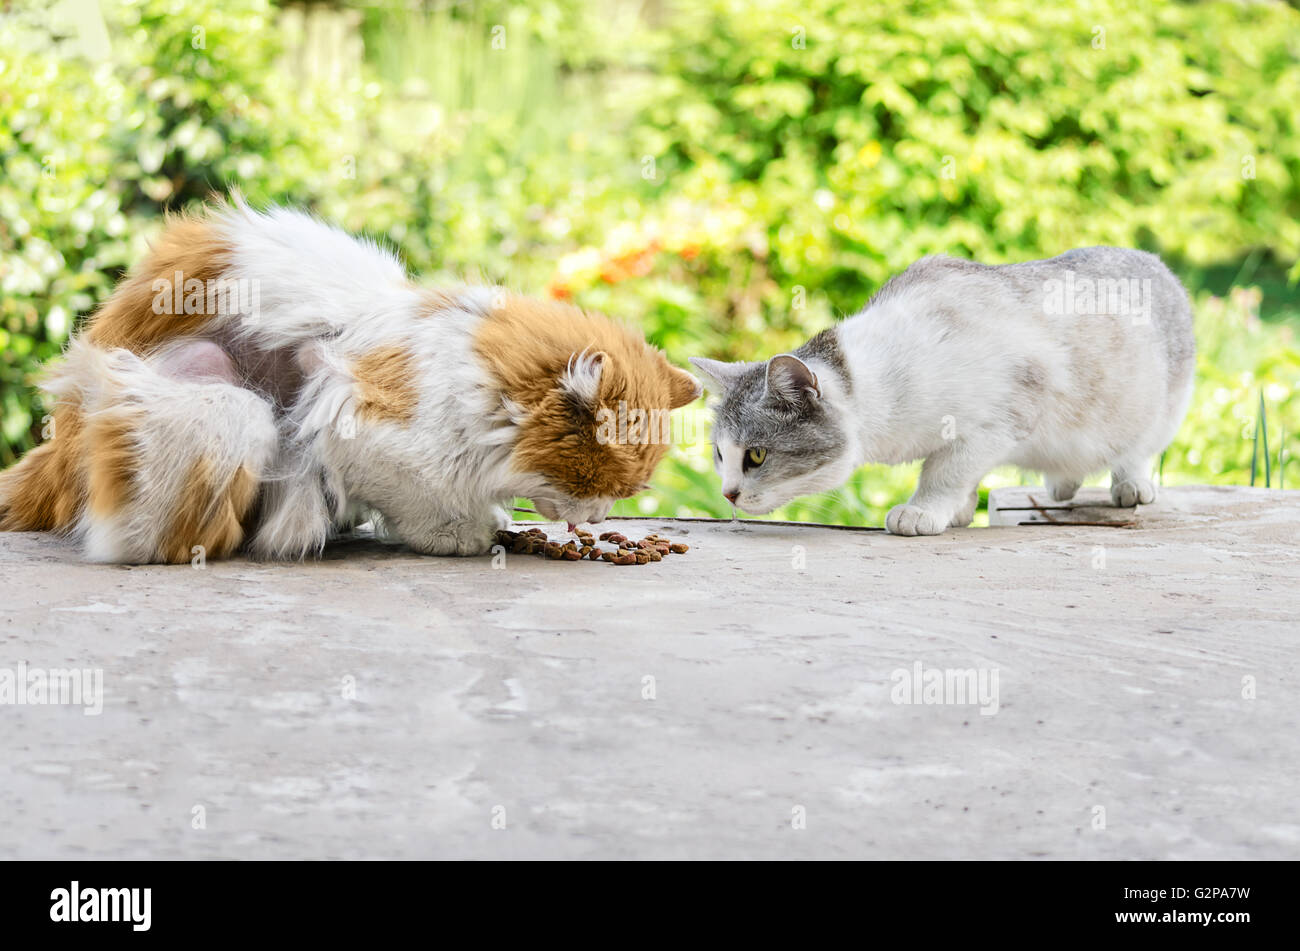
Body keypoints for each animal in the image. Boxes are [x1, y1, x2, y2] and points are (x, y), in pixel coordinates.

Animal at [0, 197, 702, 561]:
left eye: (631, 493)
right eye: (601, 486)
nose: (600, 515)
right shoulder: (356, 424)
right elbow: (424, 503)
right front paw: (461, 534)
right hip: (222, 403)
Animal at [696, 246, 1190, 535]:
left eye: (756, 455)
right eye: (720, 454)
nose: (727, 493)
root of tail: (1150, 257)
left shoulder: (998, 420)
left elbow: (945, 470)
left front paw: (923, 510)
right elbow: (961, 476)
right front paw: (957, 511)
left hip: (1162, 409)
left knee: (1137, 449)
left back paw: (1131, 484)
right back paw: (1061, 483)